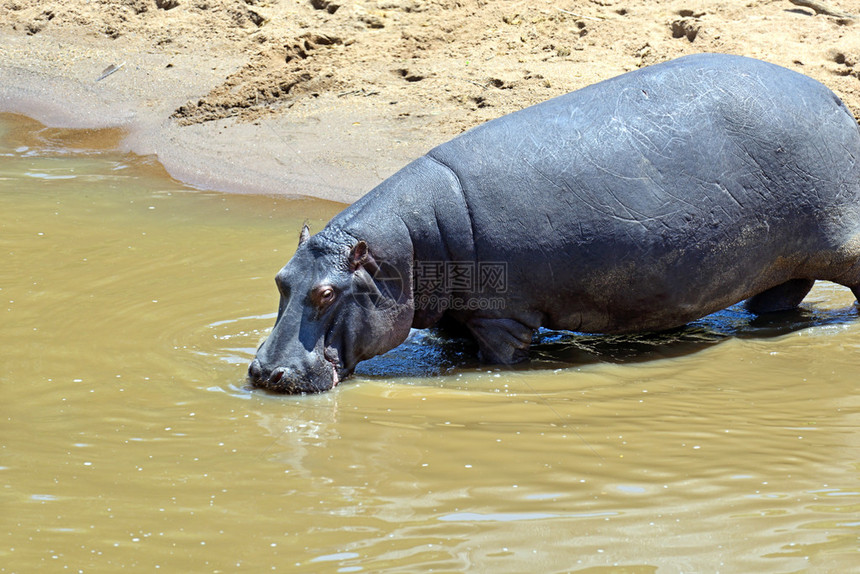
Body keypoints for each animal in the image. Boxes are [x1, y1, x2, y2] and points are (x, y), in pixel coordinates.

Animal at [247, 54, 860, 394]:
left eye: (328, 293)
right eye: (280, 280)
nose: (263, 374)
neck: (405, 253)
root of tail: (832, 95)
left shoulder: (502, 318)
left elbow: (497, 358)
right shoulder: (457, 318)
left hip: (842, 239)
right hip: (783, 260)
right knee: (781, 294)